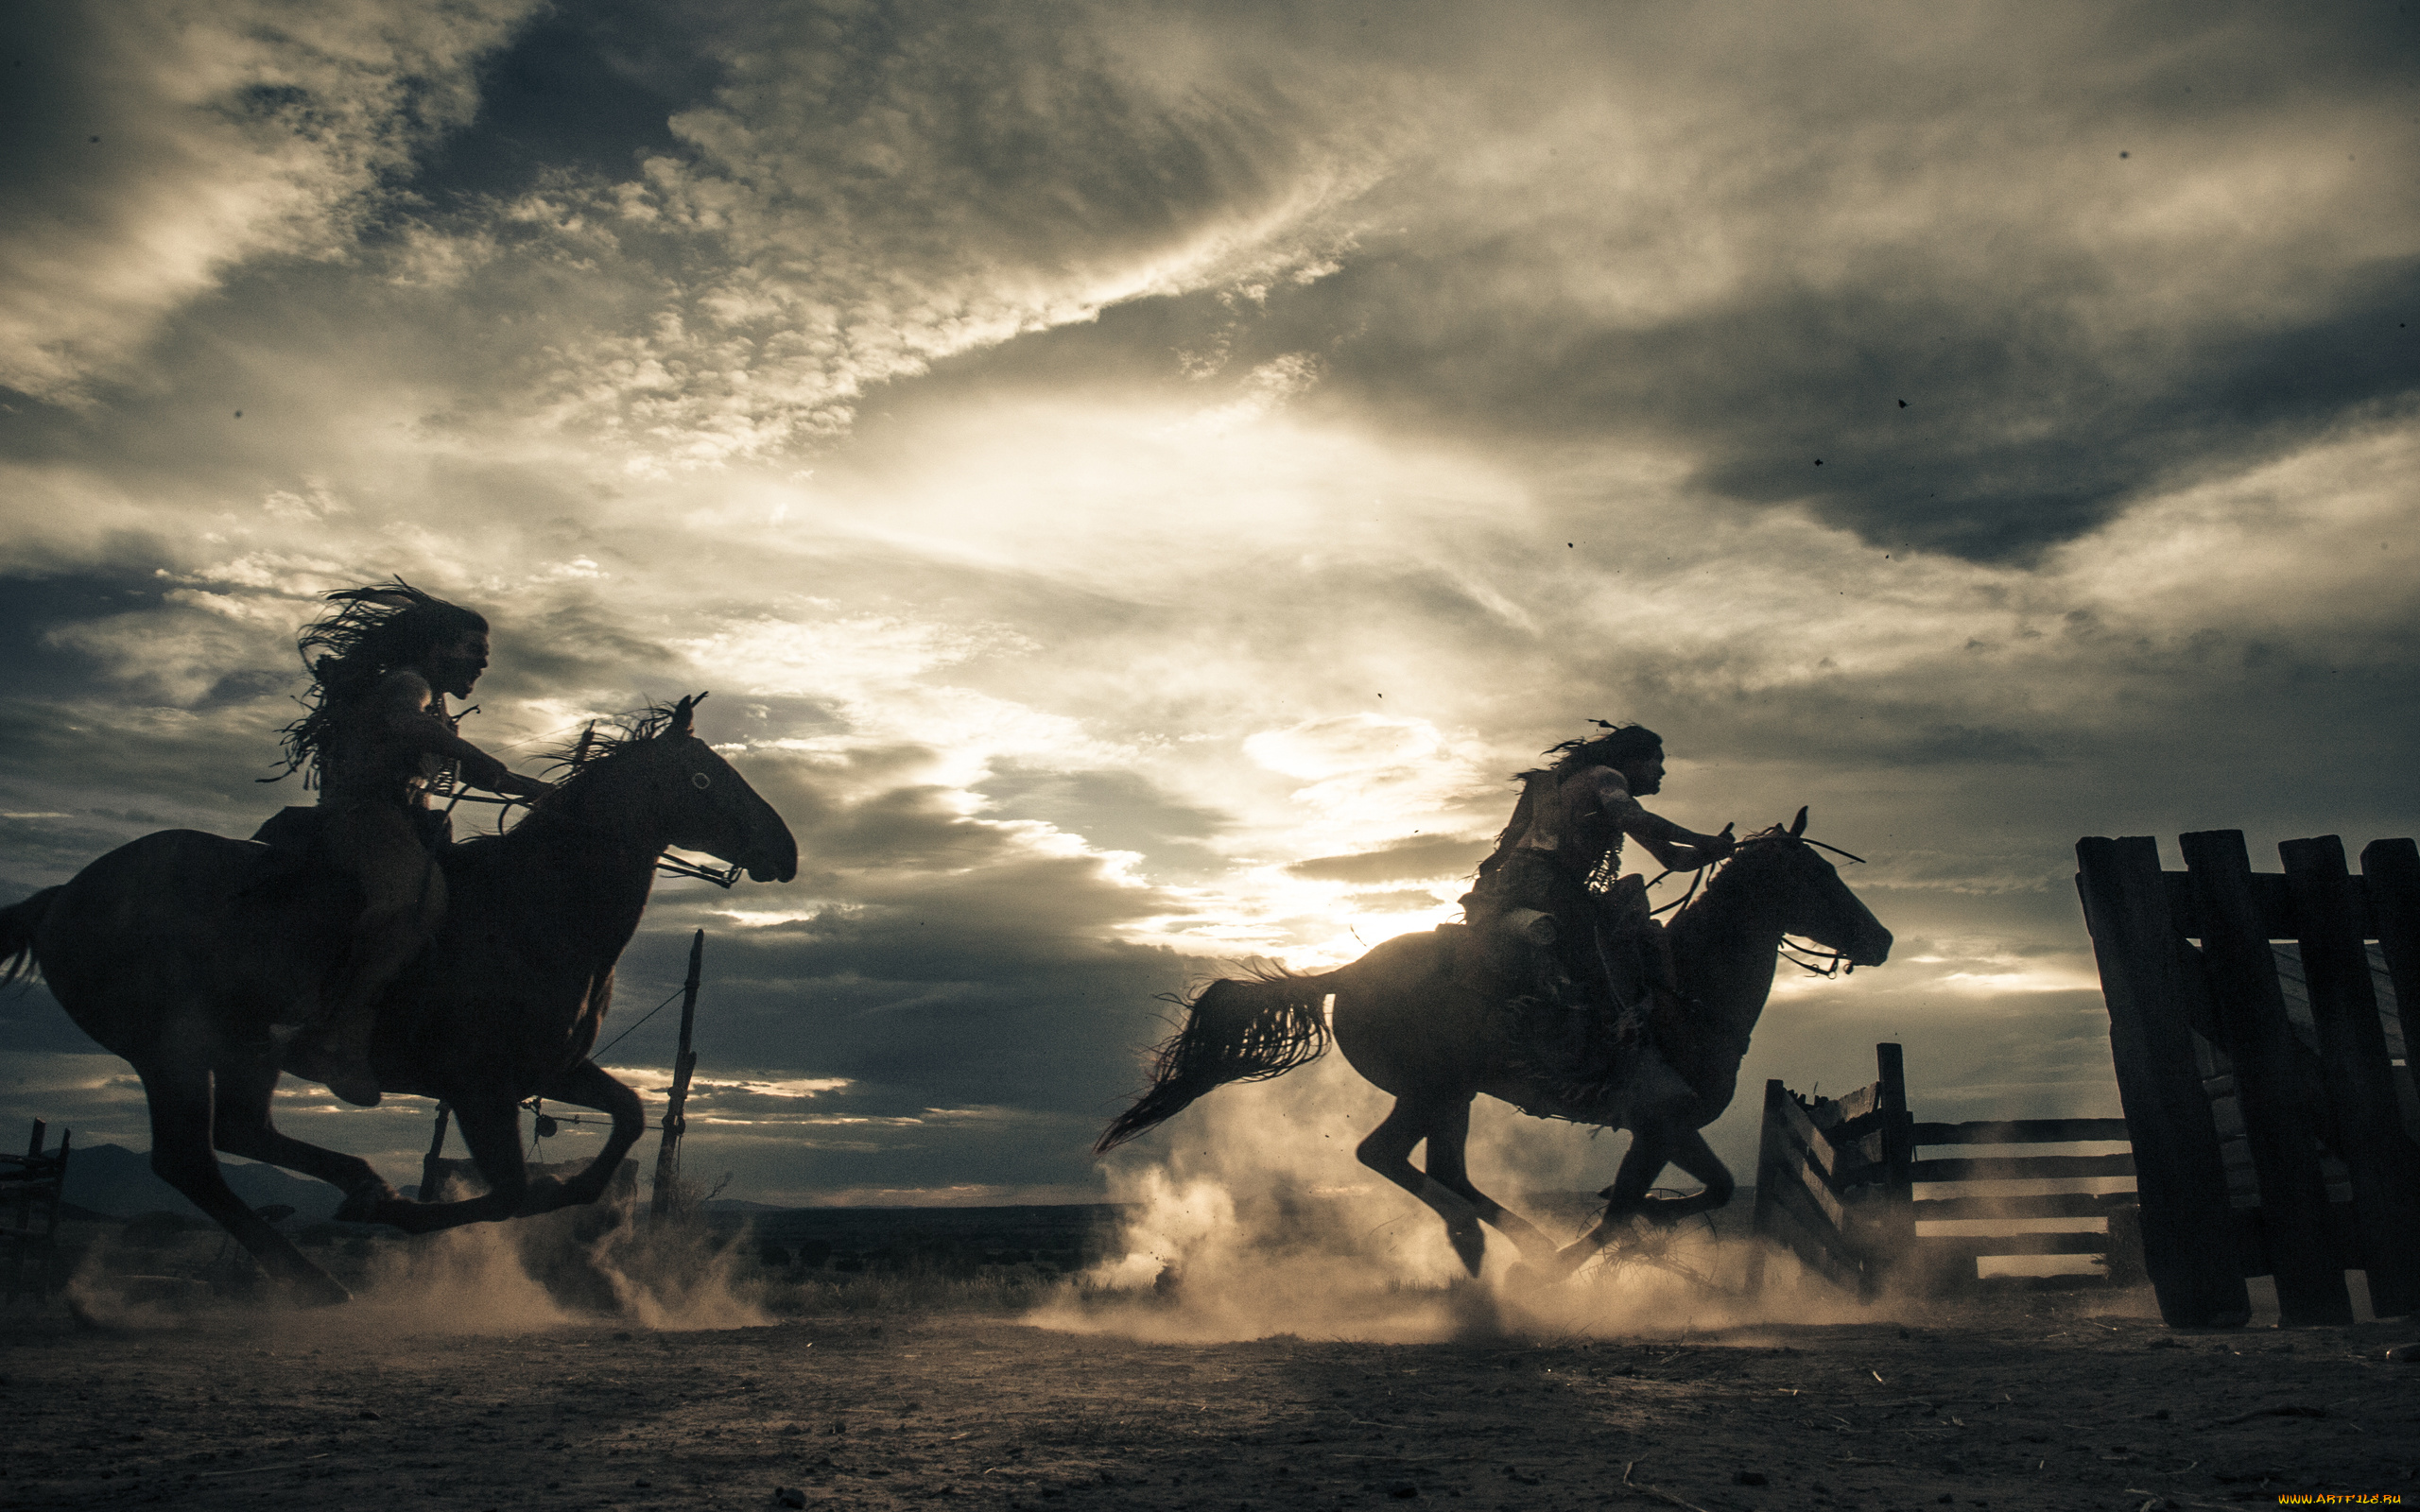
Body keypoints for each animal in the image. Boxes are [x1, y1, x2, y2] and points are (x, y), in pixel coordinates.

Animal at [0, 696, 793, 1297]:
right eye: (703, 779)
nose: (784, 850)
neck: (533, 905)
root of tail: (60, 897)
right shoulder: (478, 1086)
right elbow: (512, 1192)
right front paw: (411, 1219)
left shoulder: (552, 1070)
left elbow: (626, 1119)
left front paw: (583, 1212)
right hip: (172, 1053)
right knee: (190, 1161)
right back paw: (325, 1263)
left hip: (242, 1051)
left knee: (236, 1138)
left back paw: (349, 1209)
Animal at [1098, 808, 1887, 1277]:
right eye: (1818, 874)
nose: (1881, 939)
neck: (1685, 989)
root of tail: (1350, 972)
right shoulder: (1656, 1122)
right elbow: (1631, 1206)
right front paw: (1595, 1249)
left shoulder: (1668, 1126)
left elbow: (1711, 1188)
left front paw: (1640, 1228)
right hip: (1434, 1088)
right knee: (1388, 1156)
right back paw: (1498, 1246)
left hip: (1455, 1095)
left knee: (1439, 1167)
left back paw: (1498, 1245)